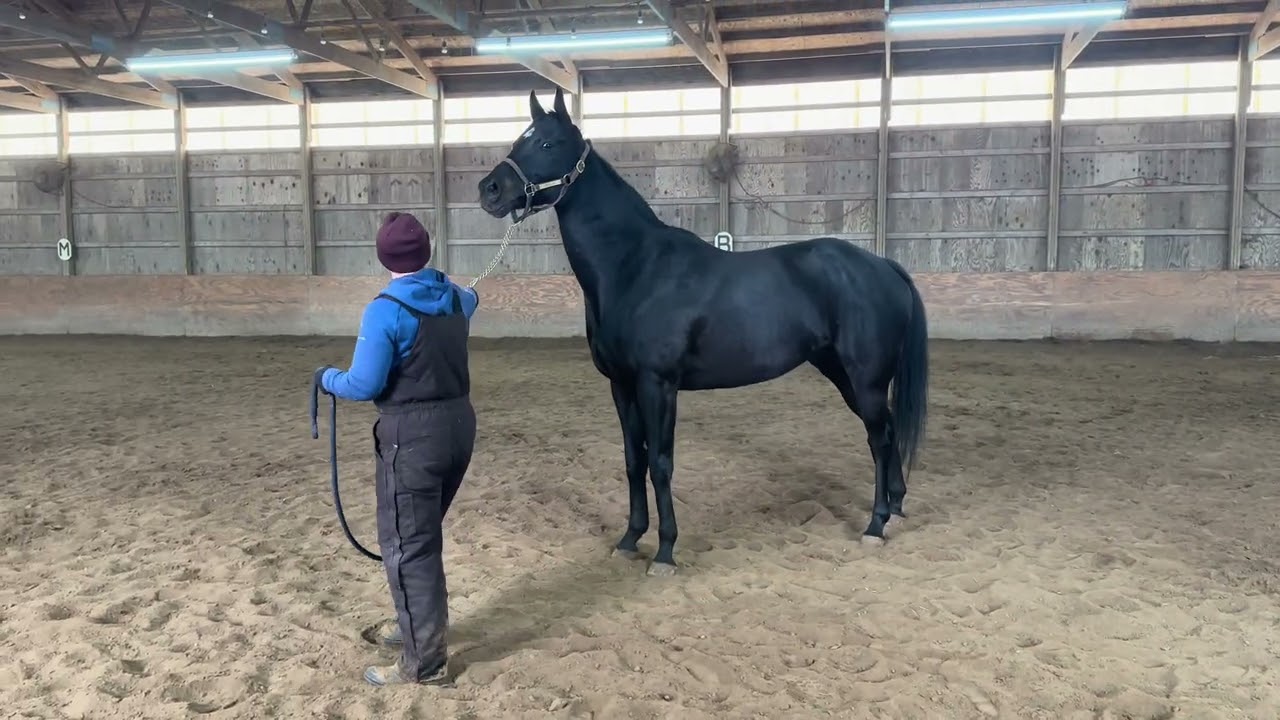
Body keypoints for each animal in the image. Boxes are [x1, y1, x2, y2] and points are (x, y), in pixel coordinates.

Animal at [477, 88, 929, 576]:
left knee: (879, 438)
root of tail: (882, 265)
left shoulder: (658, 385)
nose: (489, 190)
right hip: (843, 374)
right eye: (519, 139)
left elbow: (660, 463)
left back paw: (876, 524)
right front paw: (630, 538)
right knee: (885, 433)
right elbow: (633, 461)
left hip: (865, 378)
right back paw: (895, 510)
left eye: (547, 143)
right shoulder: (621, 386)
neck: (635, 267)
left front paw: (665, 551)